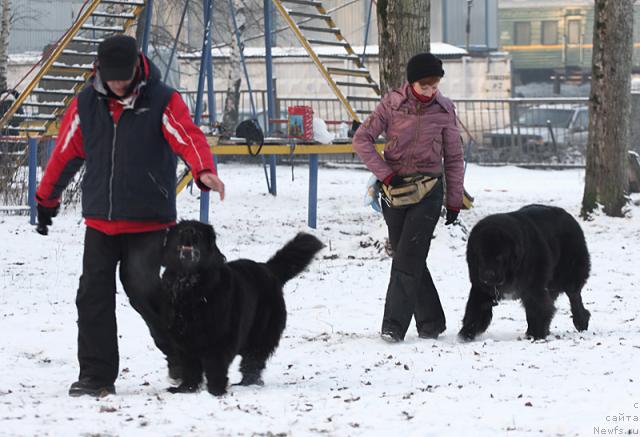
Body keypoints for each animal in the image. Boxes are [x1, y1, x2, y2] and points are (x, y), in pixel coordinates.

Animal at [159, 220, 320, 394]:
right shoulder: (184, 340)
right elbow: (190, 367)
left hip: (261, 334)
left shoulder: (220, 339)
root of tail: (268, 269)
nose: (189, 230)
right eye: (181, 230)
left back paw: (248, 382)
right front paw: (186, 388)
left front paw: (216, 390)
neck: (191, 287)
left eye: (199, 232)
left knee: (253, 360)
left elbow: (215, 365)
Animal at [460, 204, 592, 340]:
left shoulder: (534, 287)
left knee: (574, 296)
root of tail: (568, 216)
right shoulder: (480, 288)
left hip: (570, 274)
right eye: (481, 256)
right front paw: (466, 334)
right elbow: (474, 311)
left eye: (499, 257)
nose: (488, 275)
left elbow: (538, 309)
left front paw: (537, 334)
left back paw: (581, 321)